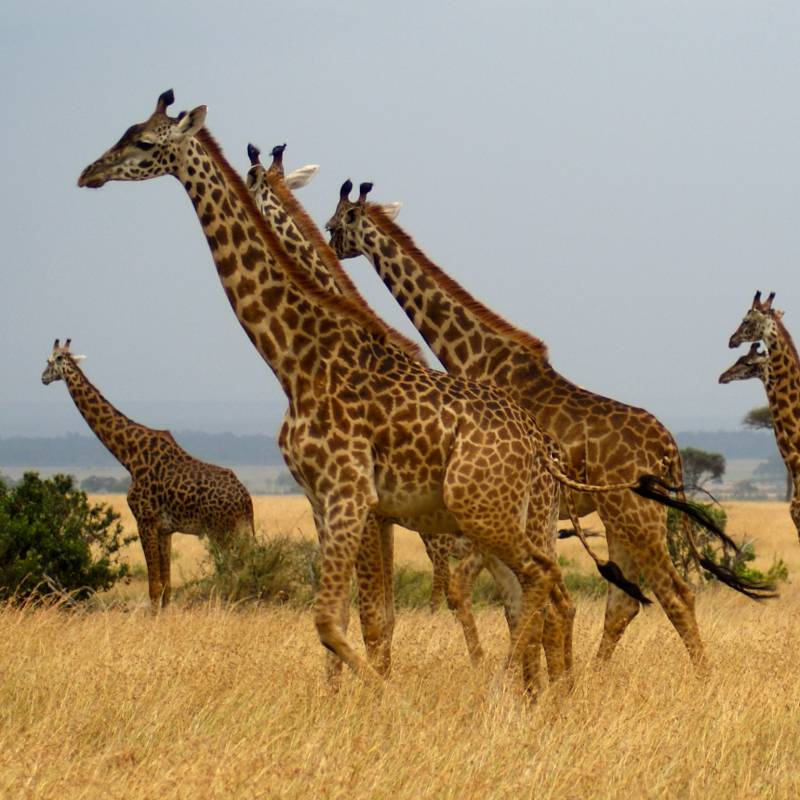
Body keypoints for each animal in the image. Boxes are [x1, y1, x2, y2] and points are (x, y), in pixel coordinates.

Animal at [40, 338, 253, 608]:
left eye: (50, 360)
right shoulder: (165, 529)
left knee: (237, 571)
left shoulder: (145, 521)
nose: (43, 378)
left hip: (223, 531)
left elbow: (154, 588)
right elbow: (166, 588)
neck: (129, 457)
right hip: (239, 531)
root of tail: (246, 500)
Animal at [78, 90, 656, 692]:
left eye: (143, 140)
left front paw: (380, 695)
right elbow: (361, 616)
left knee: (564, 589)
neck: (299, 360)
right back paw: (546, 693)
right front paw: (342, 695)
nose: (88, 173)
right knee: (547, 598)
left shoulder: (353, 496)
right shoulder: (330, 501)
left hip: (503, 514)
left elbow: (350, 618)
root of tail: (541, 448)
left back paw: (510, 688)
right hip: (515, 517)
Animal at [324, 181, 776, 668]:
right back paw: (596, 677)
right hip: (620, 516)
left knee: (675, 592)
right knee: (626, 601)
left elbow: (496, 597)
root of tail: (670, 448)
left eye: (334, 224)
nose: (332, 250)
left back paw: (701, 677)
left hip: (638, 514)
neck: (476, 357)